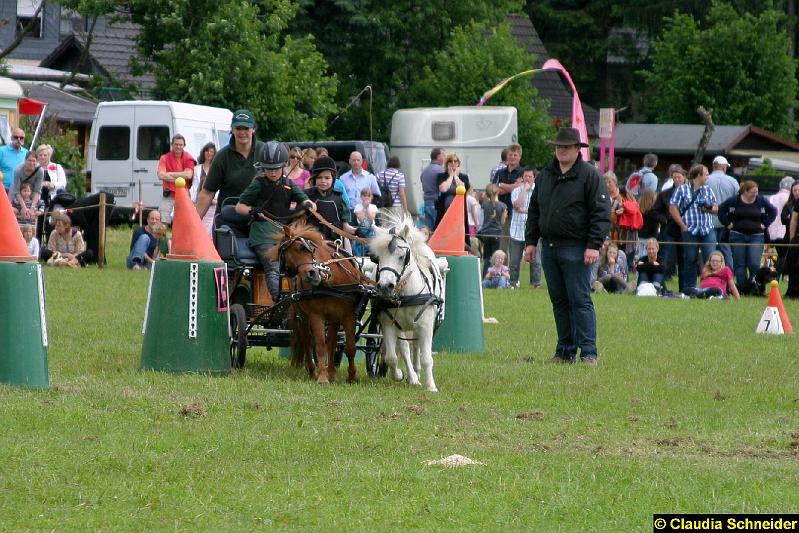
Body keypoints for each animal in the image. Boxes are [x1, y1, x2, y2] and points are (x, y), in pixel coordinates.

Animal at [272, 220, 366, 382]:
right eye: (287, 257)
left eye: (304, 248)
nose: (311, 274)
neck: (331, 281)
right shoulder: (316, 315)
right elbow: (320, 345)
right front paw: (322, 377)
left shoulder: (349, 315)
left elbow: (350, 347)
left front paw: (352, 376)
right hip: (303, 316)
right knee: (307, 340)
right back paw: (312, 370)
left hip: (334, 318)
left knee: (332, 342)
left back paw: (332, 373)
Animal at [370, 212, 446, 390]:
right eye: (377, 258)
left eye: (402, 256)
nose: (385, 286)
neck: (405, 295)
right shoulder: (388, 325)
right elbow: (392, 357)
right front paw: (398, 374)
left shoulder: (425, 325)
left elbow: (426, 358)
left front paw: (431, 386)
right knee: (405, 349)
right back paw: (413, 377)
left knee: (416, 348)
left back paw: (417, 374)